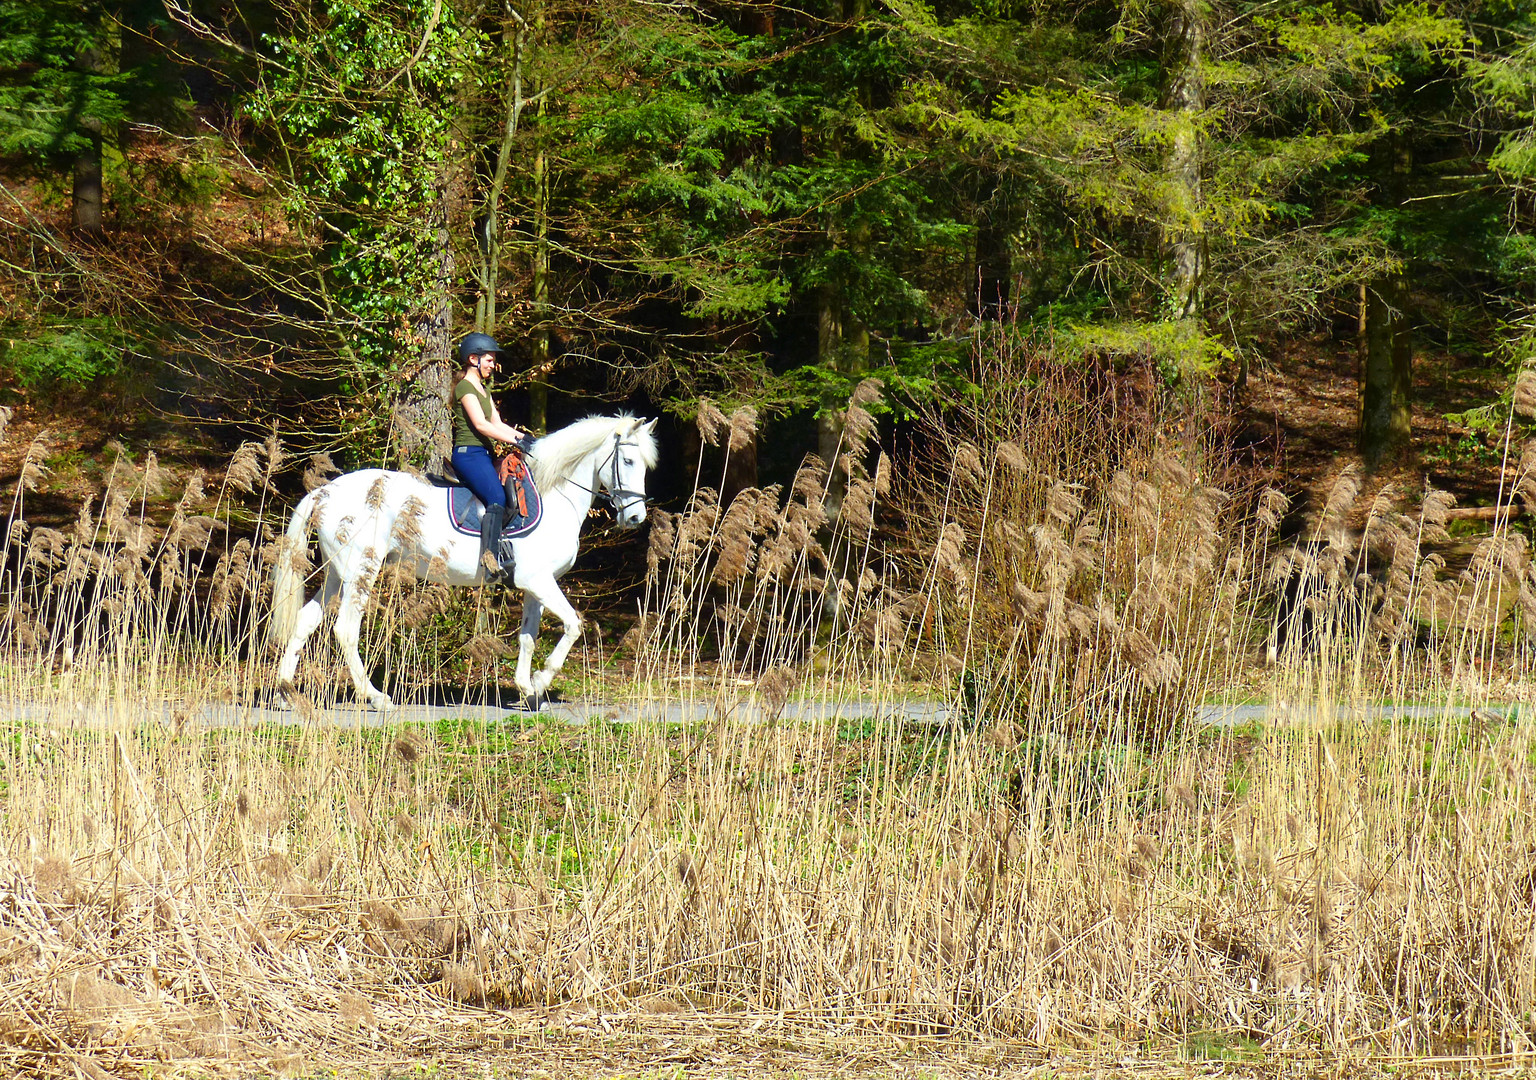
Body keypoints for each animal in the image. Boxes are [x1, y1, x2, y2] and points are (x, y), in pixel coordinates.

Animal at [270, 414, 654, 709]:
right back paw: (376, 697)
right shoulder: (539, 580)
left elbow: (528, 637)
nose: (636, 518)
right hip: (362, 570)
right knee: (346, 629)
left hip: (338, 574)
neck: (554, 493)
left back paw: (285, 693)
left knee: (305, 621)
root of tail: (324, 492)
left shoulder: (533, 586)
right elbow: (573, 625)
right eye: (628, 461)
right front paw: (542, 678)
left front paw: (527, 690)